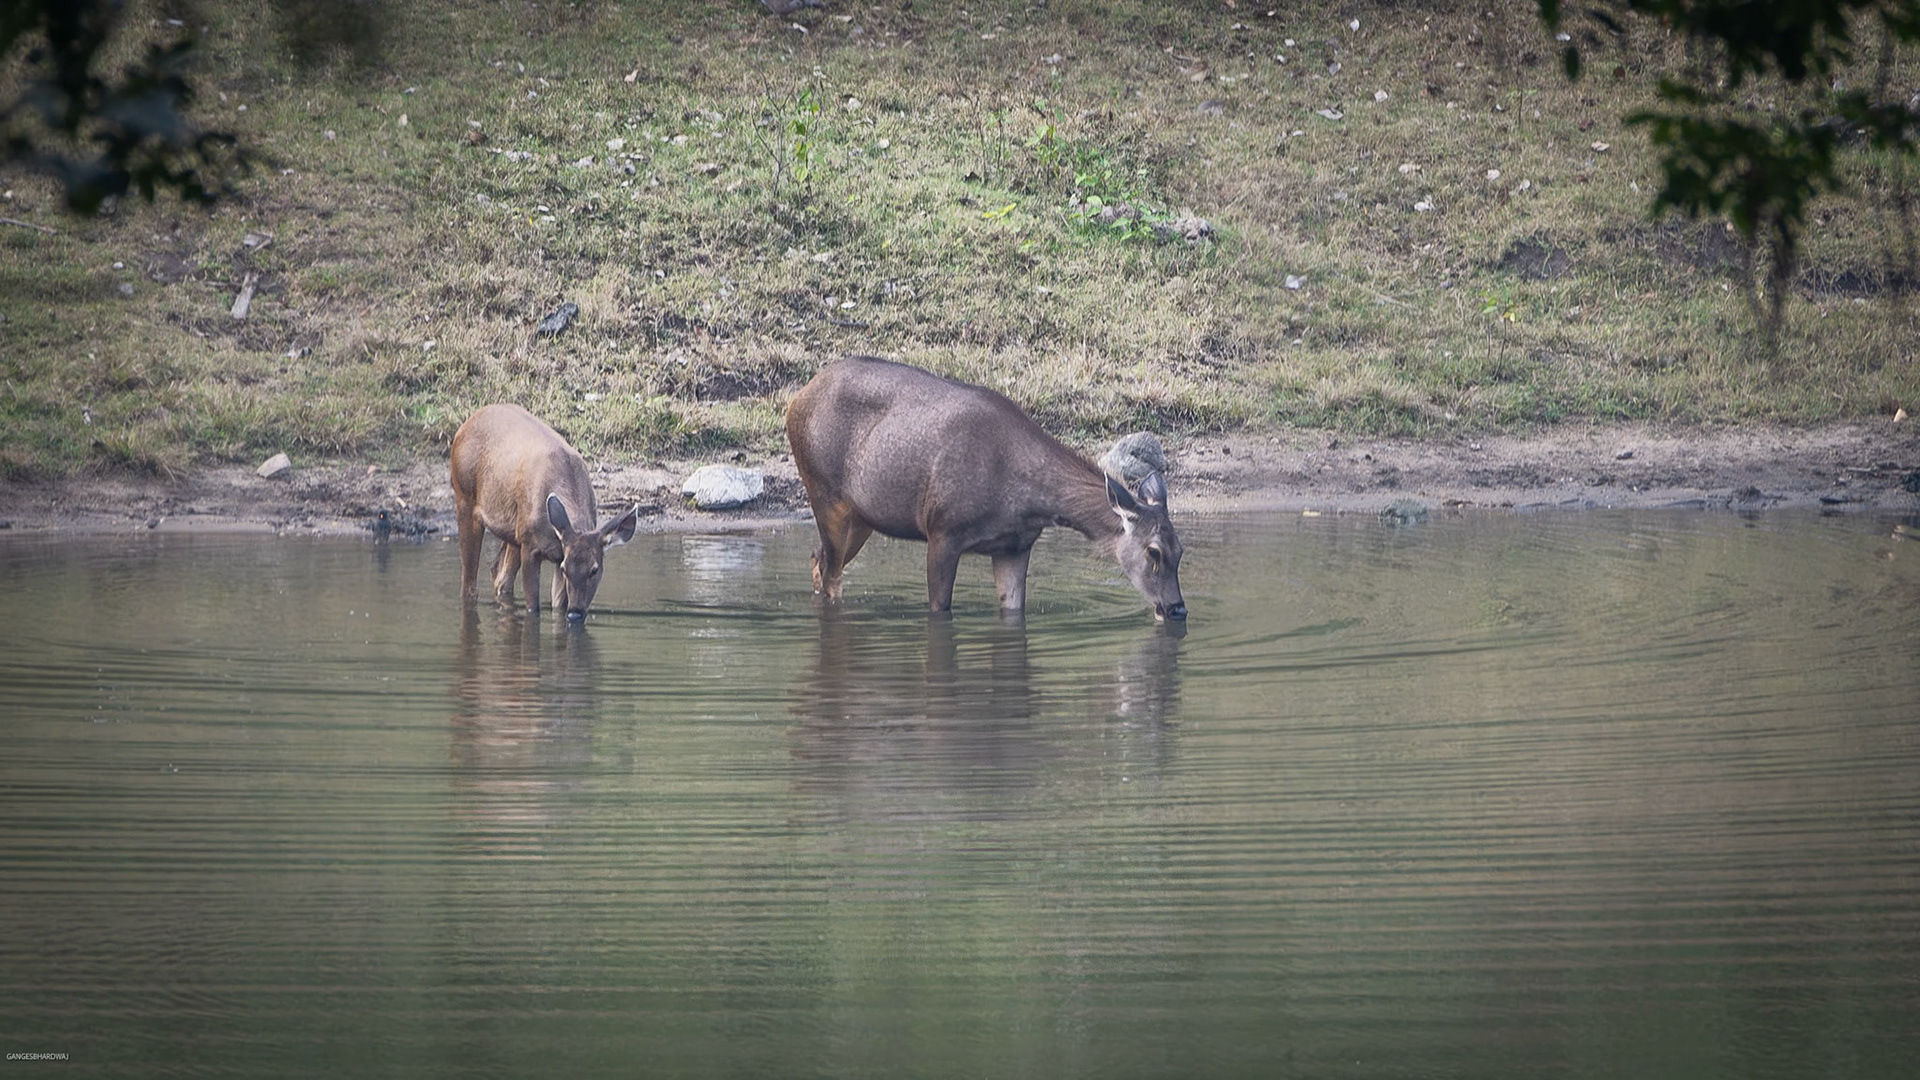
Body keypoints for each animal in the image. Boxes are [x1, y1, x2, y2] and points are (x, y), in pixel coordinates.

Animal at [450, 404, 639, 623]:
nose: (575, 614)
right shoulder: (530, 546)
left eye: (594, 569)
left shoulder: (557, 552)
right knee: (469, 583)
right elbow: (533, 607)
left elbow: (557, 605)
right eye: (566, 569)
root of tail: (465, 425)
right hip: (465, 498)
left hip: (512, 531)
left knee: (499, 575)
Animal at [785, 356, 1187, 621]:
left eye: (1181, 550)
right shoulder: (942, 531)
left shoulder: (1015, 547)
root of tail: (797, 398)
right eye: (1153, 551)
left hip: (863, 517)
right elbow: (940, 610)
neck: (1024, 500)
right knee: (830, 572)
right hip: (824, 492)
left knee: (817, 558)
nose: (1177, 608)